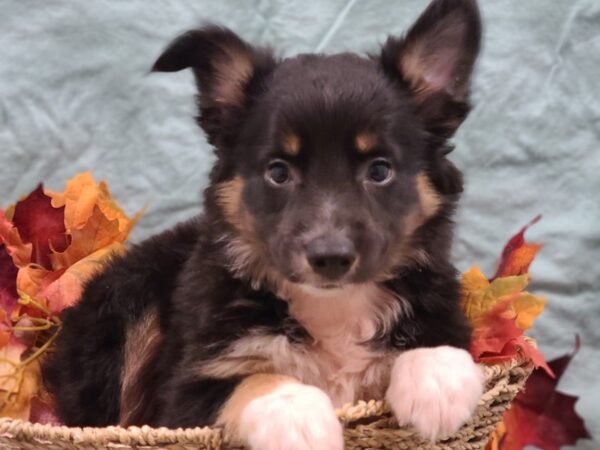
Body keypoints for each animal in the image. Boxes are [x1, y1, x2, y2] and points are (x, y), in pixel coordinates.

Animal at [44, 1, 488, 448]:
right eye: (278, 172)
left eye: (380, 171)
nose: (330, 258)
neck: (334, 308)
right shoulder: (185, 394)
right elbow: (254, 377)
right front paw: (297, 417)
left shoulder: (442, 315)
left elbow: (436, 346)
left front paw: (438, 383)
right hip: (130, 304)